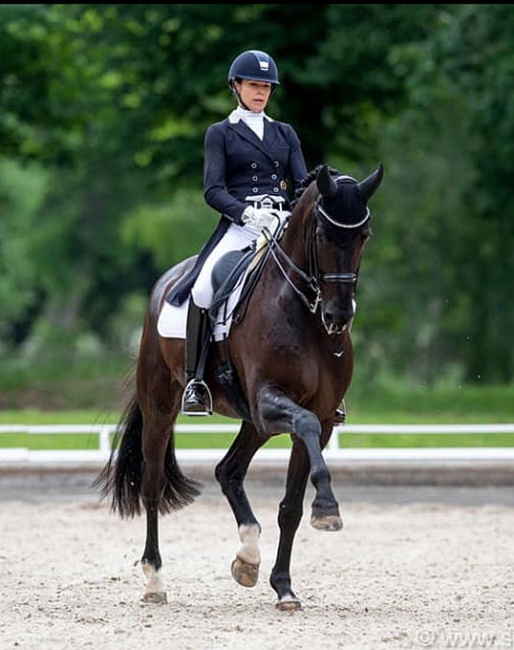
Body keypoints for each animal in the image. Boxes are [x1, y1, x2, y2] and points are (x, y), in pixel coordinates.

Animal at [94, 162, 382, 608]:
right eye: (322, 234)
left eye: (364, 235)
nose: (338, 316)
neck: (303, 313)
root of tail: (169, 280)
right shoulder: (272, 402)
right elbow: (304, 434)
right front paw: (327, 509)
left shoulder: (315, 415)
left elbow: (291, 506)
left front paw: (284, 587)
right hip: (162, 405)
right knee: (153, 486)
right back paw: (155, 580)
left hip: (254, 423)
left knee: (227, 470)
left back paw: (247, 556)